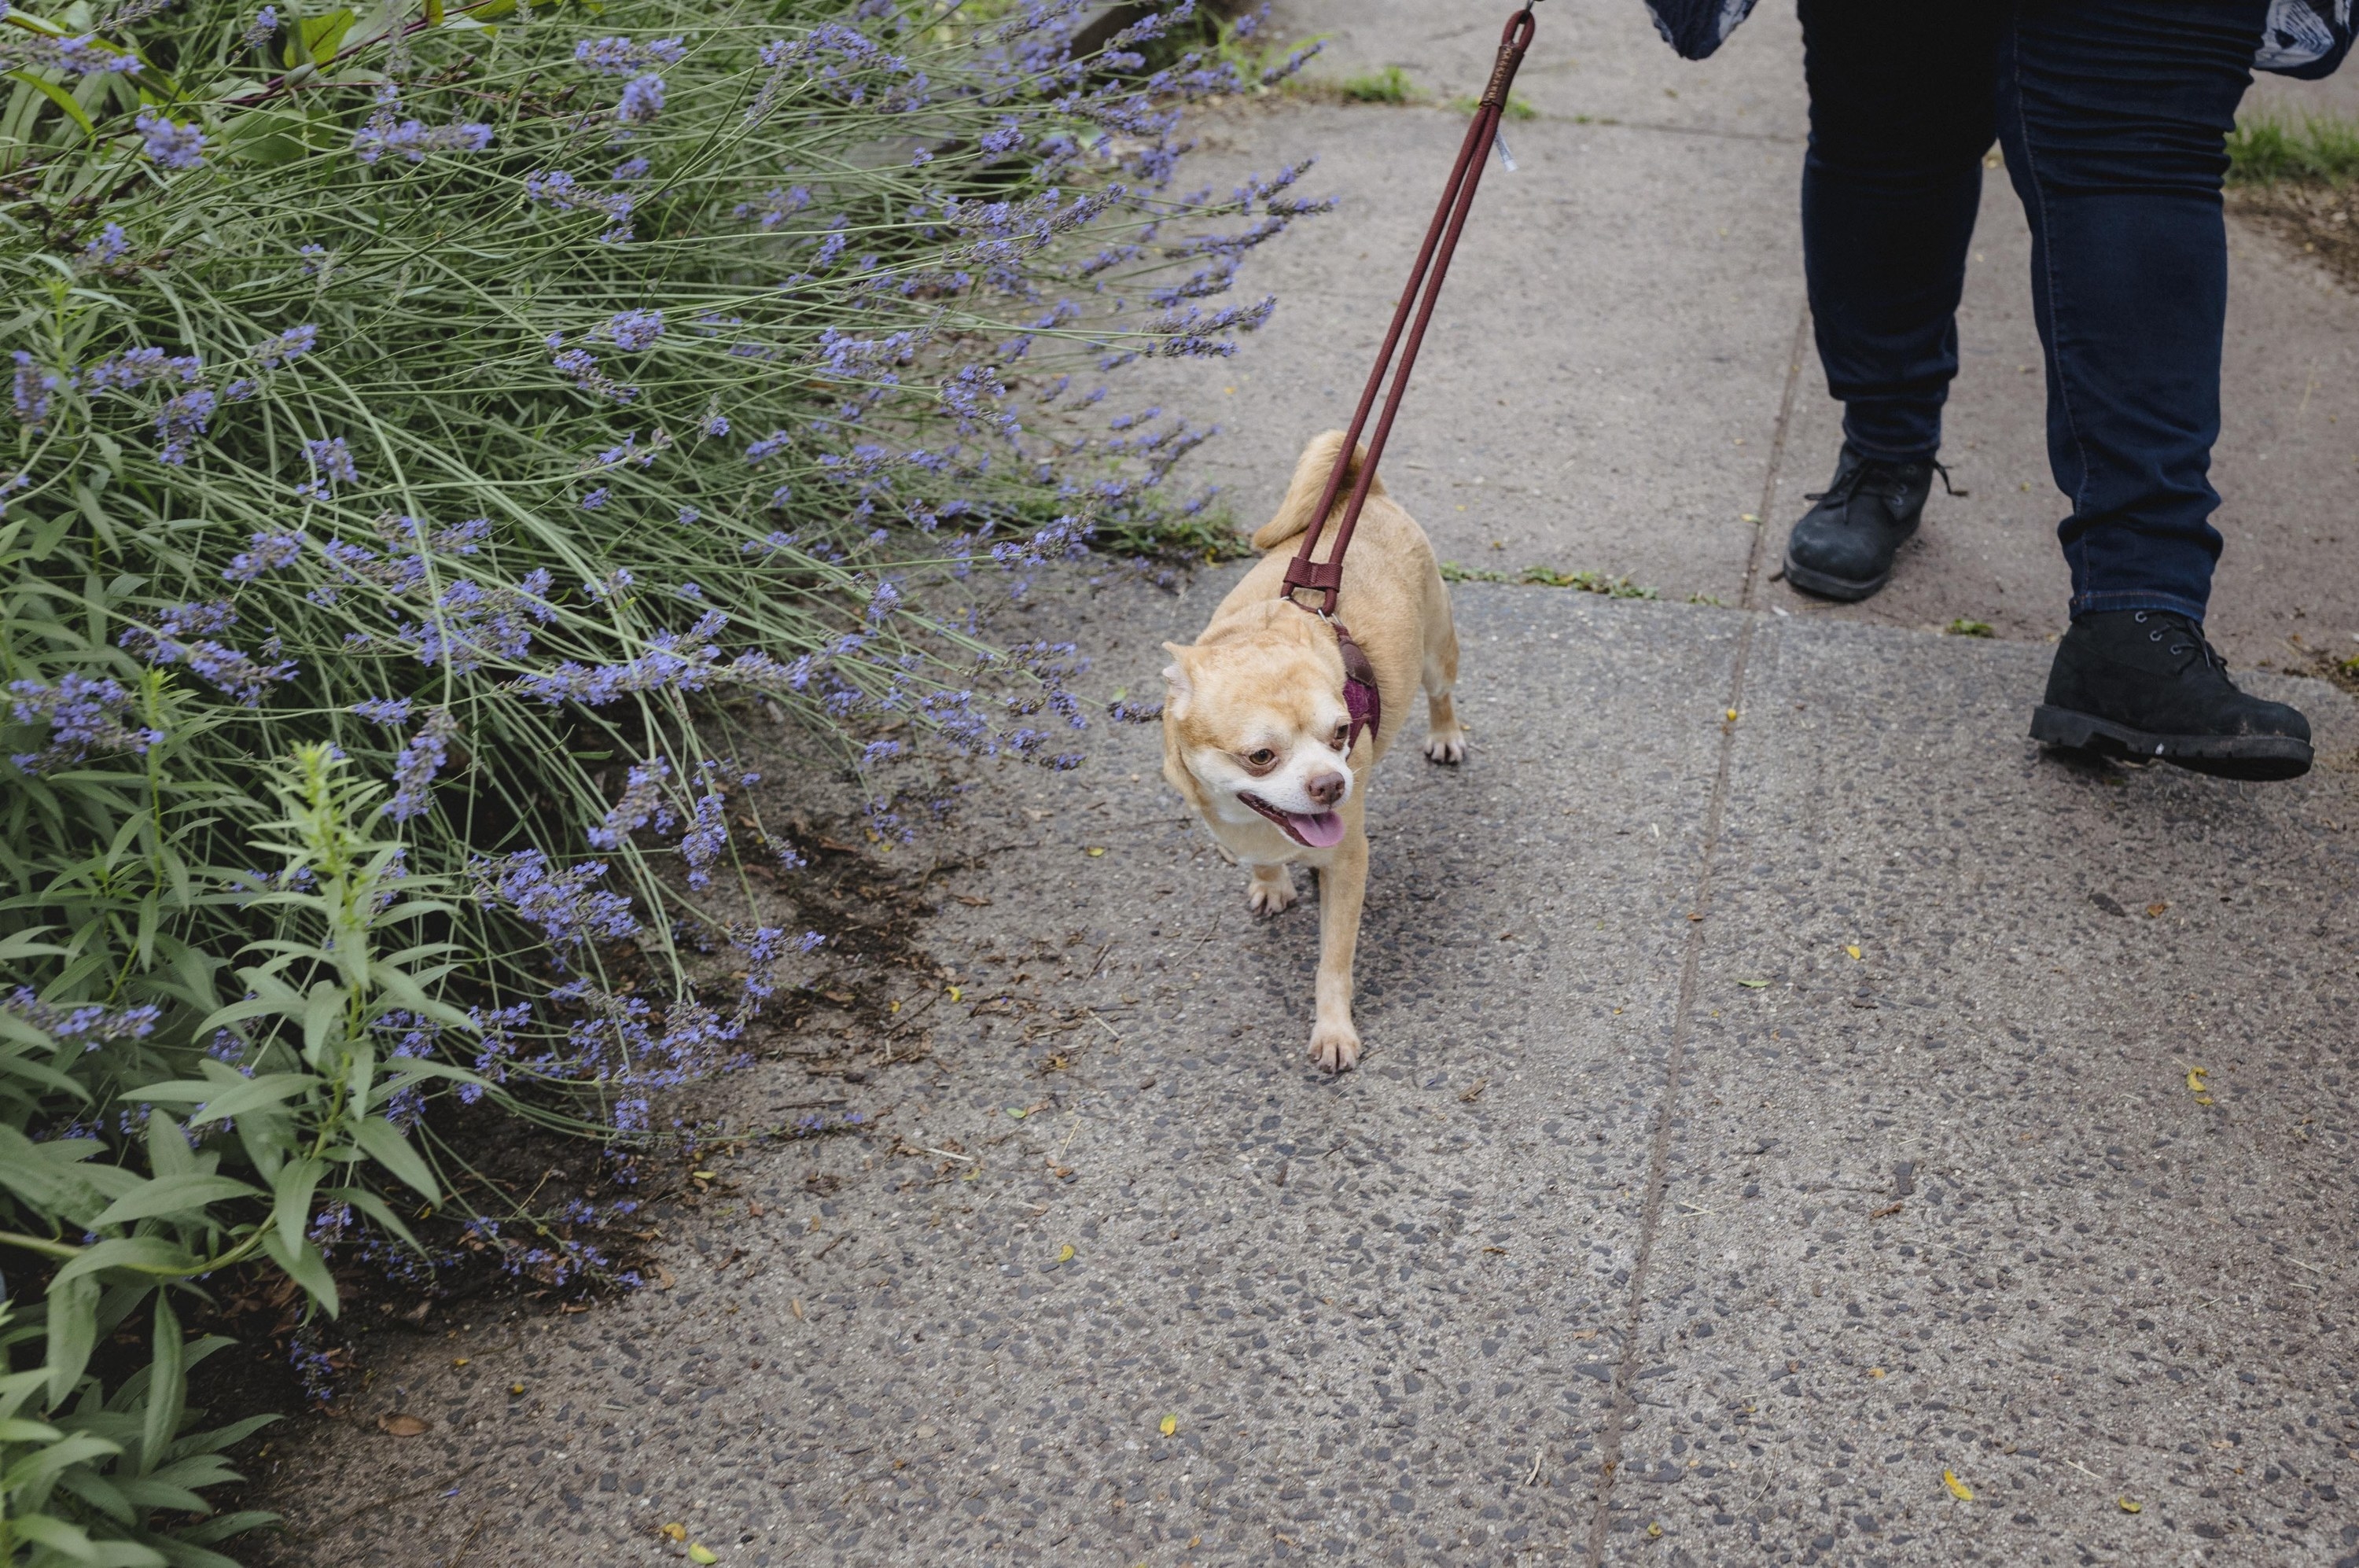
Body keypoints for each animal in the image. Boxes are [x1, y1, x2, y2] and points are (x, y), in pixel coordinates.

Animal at [1156, 431, 1463, 1075]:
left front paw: (1334, 1030)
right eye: (1261, 756)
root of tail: (1362, 492)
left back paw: (1446, 734)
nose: (1332, 784)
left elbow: (1333, 963)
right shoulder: (1232, 829)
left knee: (1441, 693)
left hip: (1437, 654)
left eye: (1342, 733)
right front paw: (1272, 882)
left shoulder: (1349, 864)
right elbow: (1260, 859)